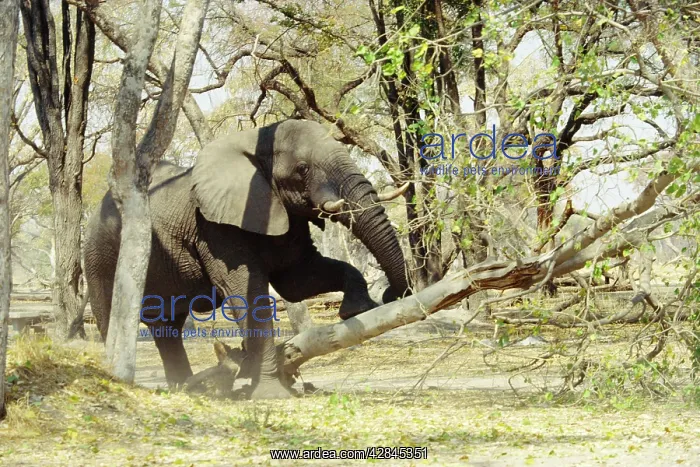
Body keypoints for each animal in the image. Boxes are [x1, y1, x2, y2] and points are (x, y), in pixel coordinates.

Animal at [84, 119, 411, 399]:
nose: (391, 294)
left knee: (167, 326)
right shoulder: (215, 228)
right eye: (302, 168)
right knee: (114, 316)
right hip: (99, 254)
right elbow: (247, 292)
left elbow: (299, 280)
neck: (255, 142)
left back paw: (187, 388)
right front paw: (271, 393)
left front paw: (357, 309)